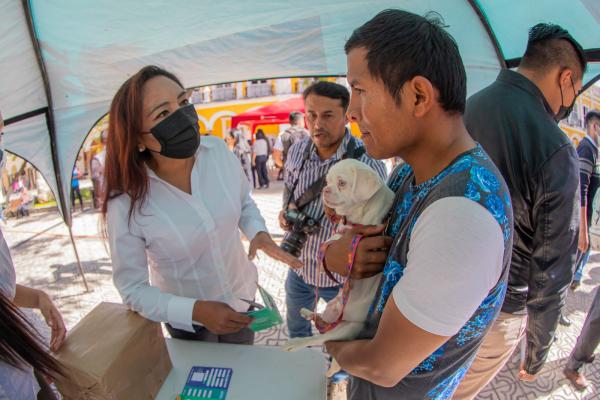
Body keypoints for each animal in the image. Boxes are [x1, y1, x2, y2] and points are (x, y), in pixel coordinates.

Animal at [284, 159, 396, 376]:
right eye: (327, 181)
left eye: (341, 183)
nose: (325, 190)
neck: (359, 212)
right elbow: (335, 235)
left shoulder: (361, 229)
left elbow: (337, 237)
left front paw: (327, 248)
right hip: (330, 308)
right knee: (321, 322)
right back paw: (308, 313)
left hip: (347, 328)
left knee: (319, 336)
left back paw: (296, 343)